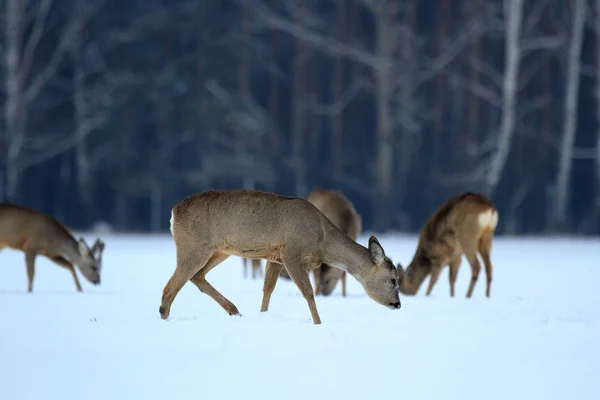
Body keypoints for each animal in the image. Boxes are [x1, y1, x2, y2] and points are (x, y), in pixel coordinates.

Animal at [162, 189, 400, 324]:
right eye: (393, 279)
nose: (398, 304)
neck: (322, 240)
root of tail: (173, 213)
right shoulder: (291, 253)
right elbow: (308, 292)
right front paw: (318, 324)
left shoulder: (274, 257)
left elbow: (268, 289)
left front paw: (263, 316)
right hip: (194, 246)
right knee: (170, 287)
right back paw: (165, 318)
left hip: (219, 250)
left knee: (197, 277)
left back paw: (234, 311)